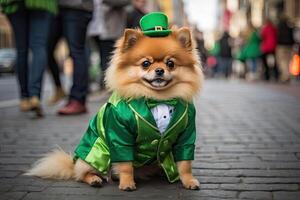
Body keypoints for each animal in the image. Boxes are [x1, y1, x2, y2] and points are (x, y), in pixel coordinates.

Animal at [26, 23, 204, 191]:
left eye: (171, 63)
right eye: (146, 63)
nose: (160, 70)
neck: (157, 99)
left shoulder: (186, 136)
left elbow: (185, 163)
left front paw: (188, 181)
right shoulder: (120, 135)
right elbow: (125, 165)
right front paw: (127, 183)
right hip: (98, 152)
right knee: (82, 174)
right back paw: (95, 179)